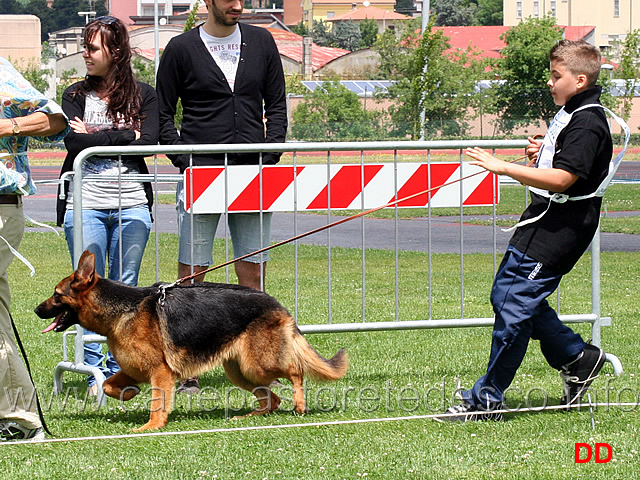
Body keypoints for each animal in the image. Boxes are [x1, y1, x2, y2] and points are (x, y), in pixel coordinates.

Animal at [35, 251, 348, 432]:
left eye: (56, 295)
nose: (36, 310)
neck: (122, 309)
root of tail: (278, 305)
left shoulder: (160, 373)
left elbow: (157, 402)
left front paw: (152, 426)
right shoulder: (133, 369)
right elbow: (109, 385)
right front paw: (129, 394)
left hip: (258, 364)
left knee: (295, 372)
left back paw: (299, 404)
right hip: (240, 372)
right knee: (272, 398)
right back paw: (249, 417)